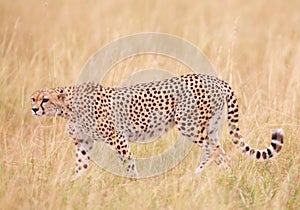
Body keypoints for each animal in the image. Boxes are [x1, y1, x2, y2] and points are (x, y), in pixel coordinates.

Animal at [30, 74, 284, 177]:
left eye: (45, 99)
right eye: (33, 98)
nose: (34, 109)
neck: (68, 108)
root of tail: (216, 79)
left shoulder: (117, 138)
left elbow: (129, 164)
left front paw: (133, 185)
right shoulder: (83, 143)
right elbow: (80, 168)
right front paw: (73, 185)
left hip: (188, 124)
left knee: (216, 151)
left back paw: (206, 176)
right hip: (208, 127)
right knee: (218, 151)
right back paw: (212, 176)